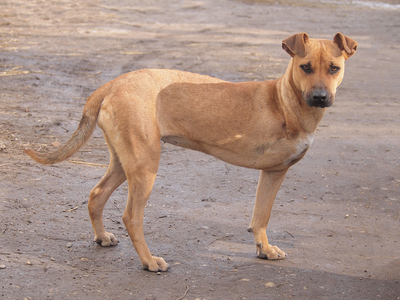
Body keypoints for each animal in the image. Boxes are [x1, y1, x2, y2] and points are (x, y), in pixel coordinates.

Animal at [24, 32, 356, 272]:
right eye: (305, 67)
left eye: (334, 68)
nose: (320, 97)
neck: (285, 101)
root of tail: (111, 84)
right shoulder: (276, 170)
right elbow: (263, 214)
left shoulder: (273, 172)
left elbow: (260, 216)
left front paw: (264, 249)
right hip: (145, 167)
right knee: (131, 217)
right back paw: (150, 262)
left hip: (123, 161)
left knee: (96, 195)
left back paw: (102, 238)